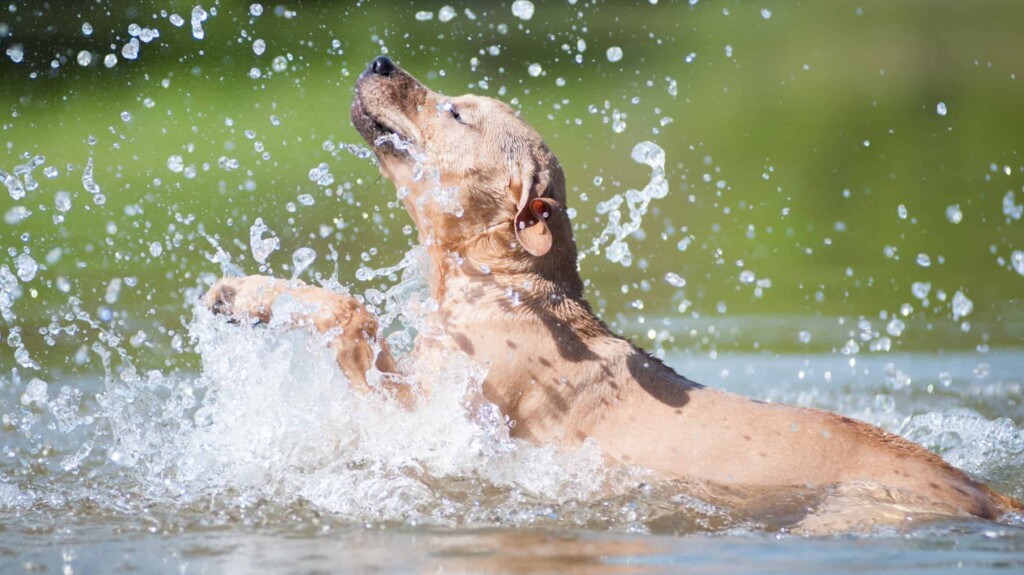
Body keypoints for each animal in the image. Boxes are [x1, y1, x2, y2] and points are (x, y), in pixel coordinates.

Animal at [203, 56, 1019, 527]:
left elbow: (353, 313)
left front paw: (248, 296)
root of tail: (985, 491)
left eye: (457, 111)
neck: (506, 288)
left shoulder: (428, 412)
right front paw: (242, 292)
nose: (381, 59)